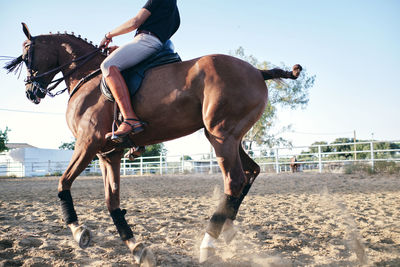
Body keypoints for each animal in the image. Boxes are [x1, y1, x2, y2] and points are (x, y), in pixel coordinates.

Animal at [6, 24, 302, 266]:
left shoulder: (87, 144)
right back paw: (226, 228)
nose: (30, 92)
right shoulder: (109, 155)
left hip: (221, 136)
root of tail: (257, 71)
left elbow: (63, 183)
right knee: (251, 172)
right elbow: (112, 202)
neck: (86, 76)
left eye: (26, 52)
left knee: (235, 180)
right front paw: (137, 248)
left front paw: (79, 231)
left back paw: (208, 242)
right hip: (230, 138)